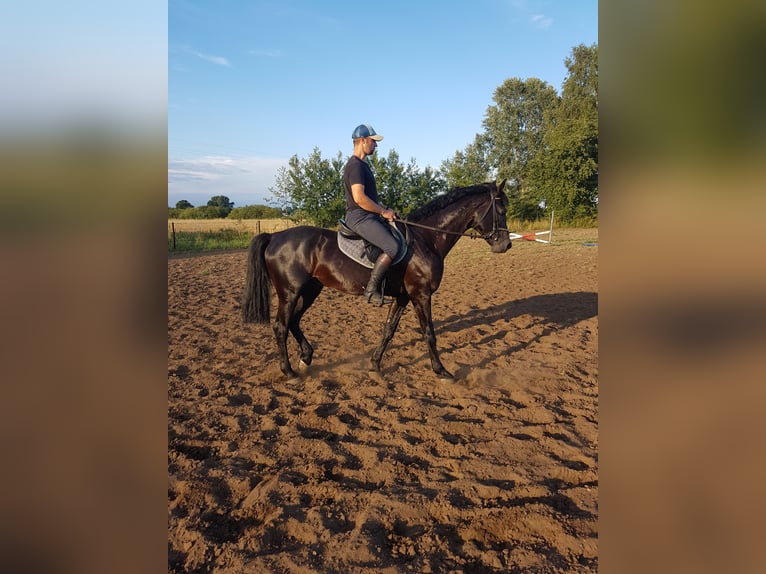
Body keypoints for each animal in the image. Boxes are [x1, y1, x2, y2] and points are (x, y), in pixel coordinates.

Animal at [241, 179, 511, 380]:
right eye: (501, 211)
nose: (506, 245)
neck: (426, 239)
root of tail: (275, 236)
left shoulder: (403, 297)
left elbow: (388, 330)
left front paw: (375, 365)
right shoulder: (421, 294)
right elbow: (429, 333)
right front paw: (441, 371)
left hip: (310, 289)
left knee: (294, 321)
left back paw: (306, 357)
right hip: (290, 292)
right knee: (281, 326)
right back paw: (289, 371)